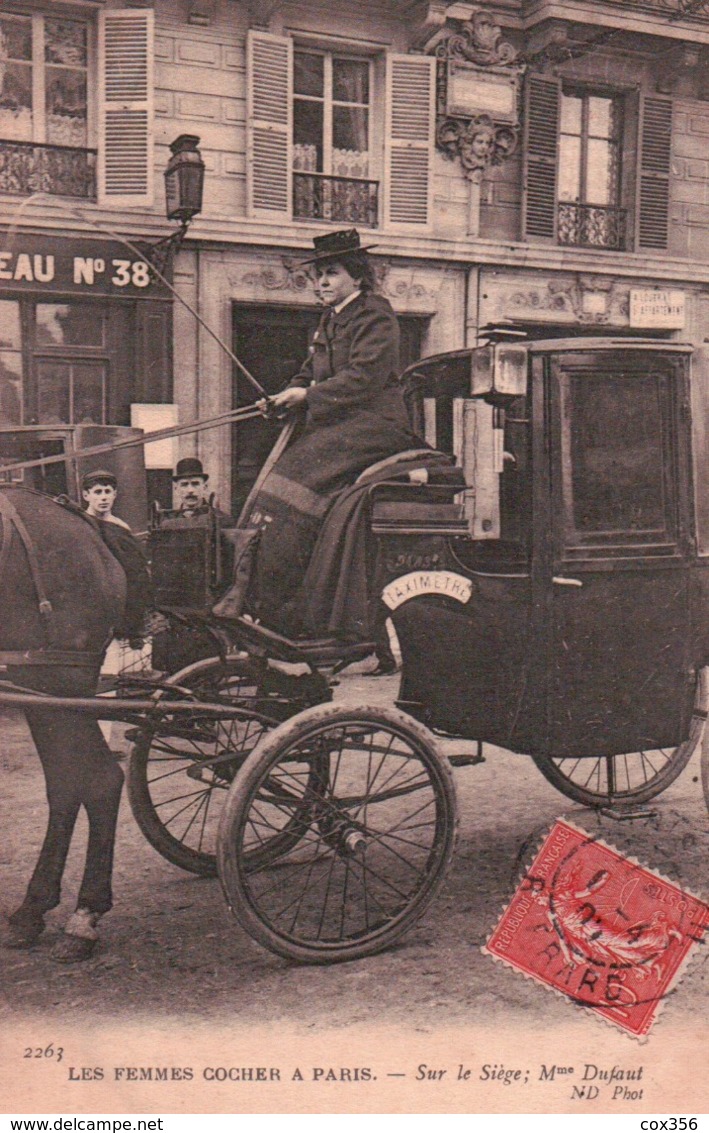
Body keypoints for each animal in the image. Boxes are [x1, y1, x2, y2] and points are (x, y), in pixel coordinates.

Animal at [0, 487, 126, 965]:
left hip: (58, 678)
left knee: (101, 779)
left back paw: (84, 916)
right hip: (38, 685)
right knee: (68, 783)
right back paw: (33, 910)